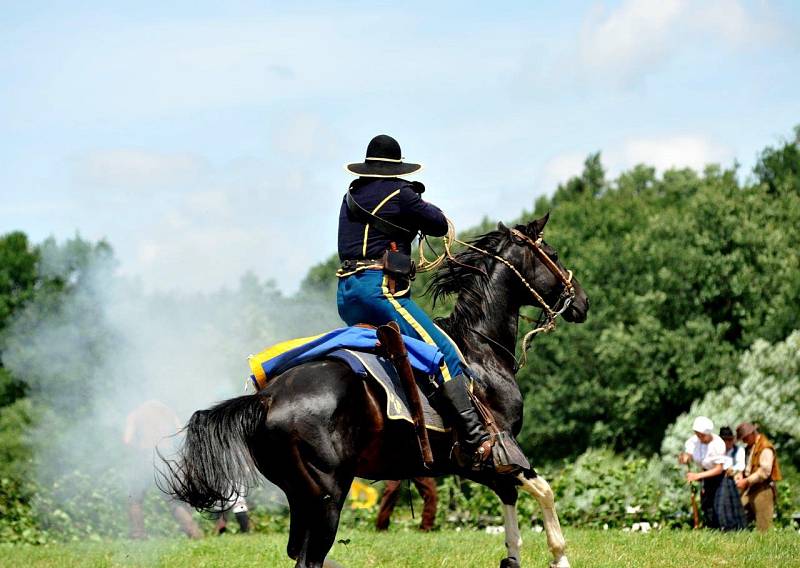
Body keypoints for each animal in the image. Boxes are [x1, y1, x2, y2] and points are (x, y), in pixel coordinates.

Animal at [162, 214, 588, 568]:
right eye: (551, 253)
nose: (582, 302)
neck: (479, 352)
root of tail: (266, 399)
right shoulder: (500, 449)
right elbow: (544, 491)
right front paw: (559, 557)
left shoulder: (478, 463)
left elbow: (510, 496)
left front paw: (513, 556)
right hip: (328, 496)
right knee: (309, 558)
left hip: (302, 496)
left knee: (299, 553)